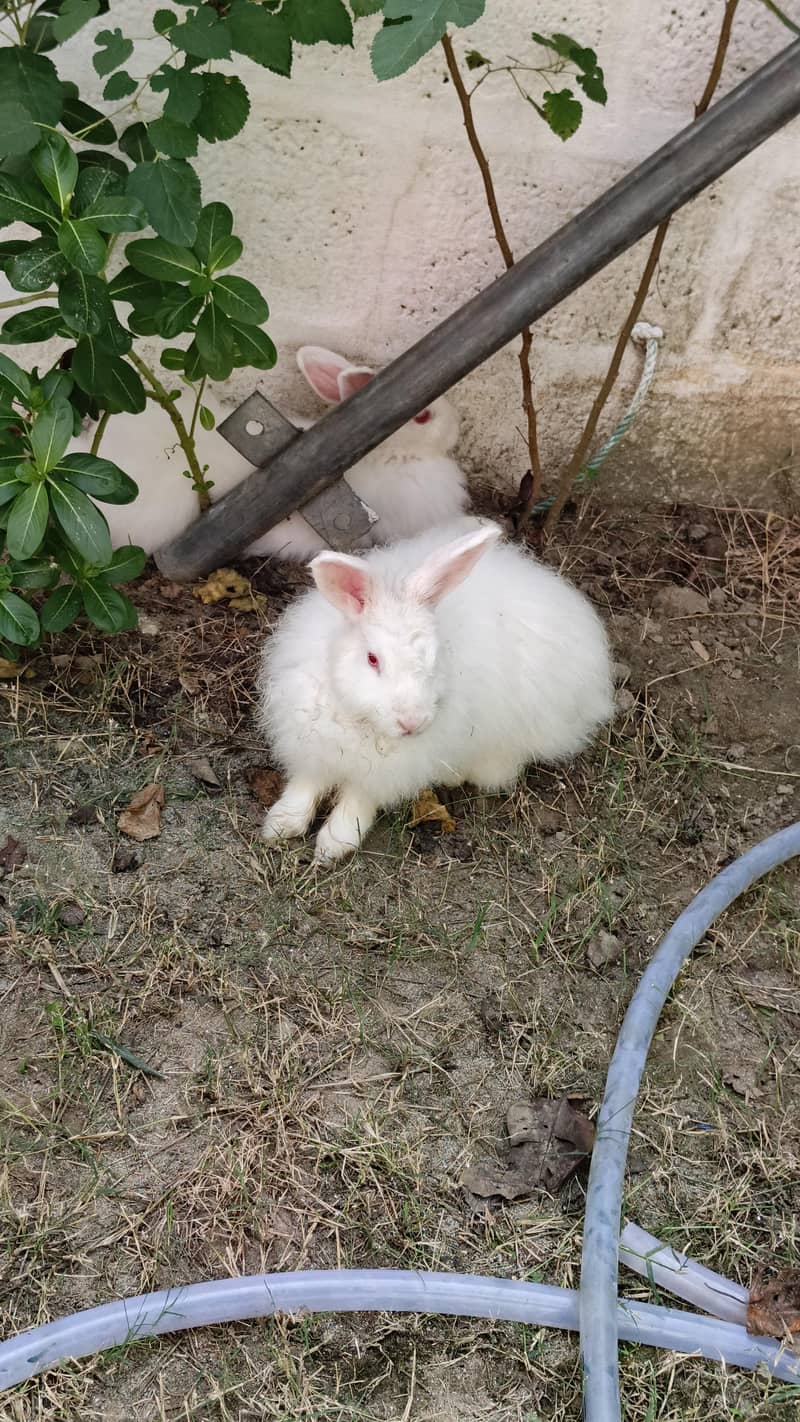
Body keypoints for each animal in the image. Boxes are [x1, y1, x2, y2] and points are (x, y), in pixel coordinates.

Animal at [257, 516, 614, 863]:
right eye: (372, 659)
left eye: (434, 654)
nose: (412, 723)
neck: (361, 719)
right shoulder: (312, 748)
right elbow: (305, 784)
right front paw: (280, 826)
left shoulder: (384, 775)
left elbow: (358, 800)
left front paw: (332, 845)